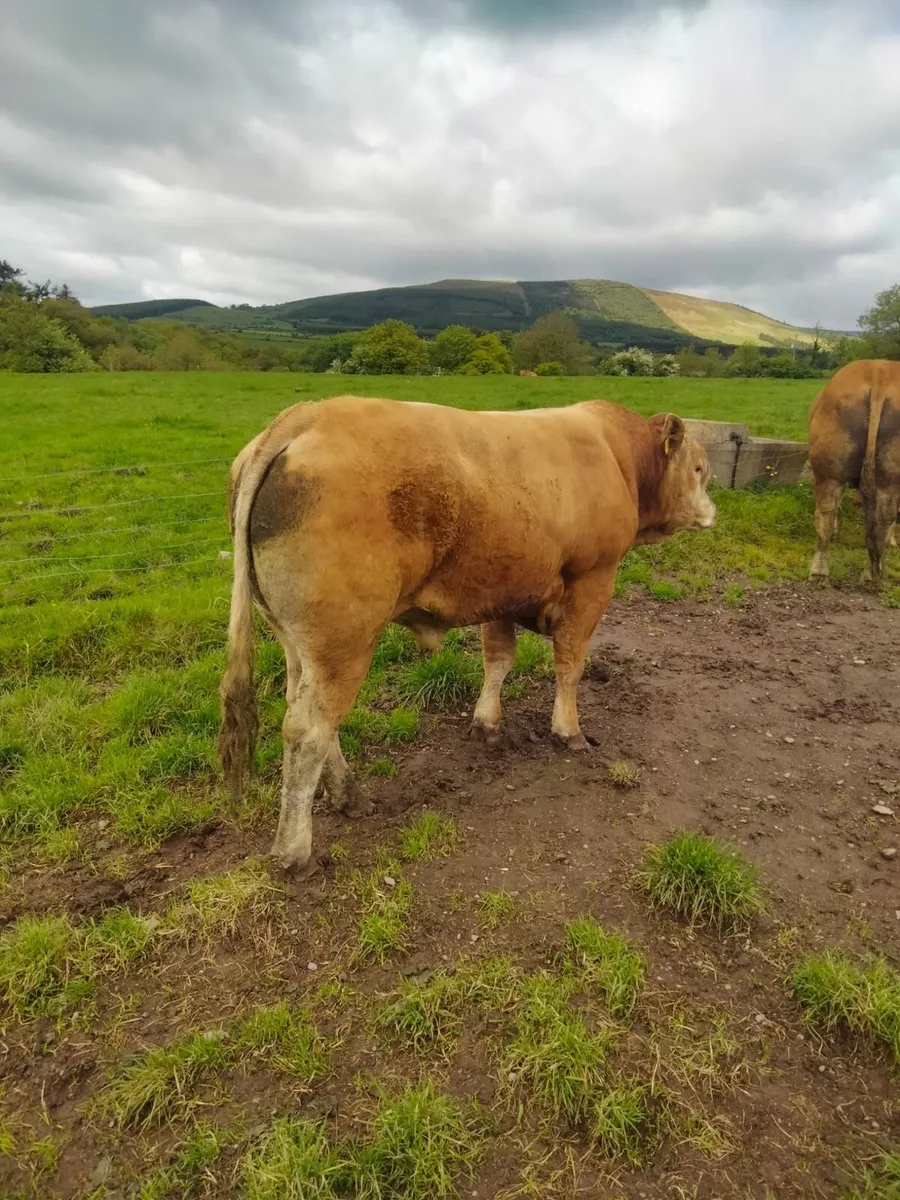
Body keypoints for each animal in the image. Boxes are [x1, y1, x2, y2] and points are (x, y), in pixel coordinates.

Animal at [218, 395, 716, 872]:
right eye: (699, 469)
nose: (712, 511)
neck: (618, 455)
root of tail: (307, 415)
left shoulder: (501, 588)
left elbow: (498, 658)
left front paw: (487, 724)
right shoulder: (592, 581)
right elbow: (570, 662)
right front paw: (568, 731)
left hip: (298, 643)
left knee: (308, 715)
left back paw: (349, 797)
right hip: (344, 644)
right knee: (308, 731)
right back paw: (295, 853)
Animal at [808, 360, 900, 585]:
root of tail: (880, 369)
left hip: (830, 472)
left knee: (827, 510)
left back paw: (819, 571)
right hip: (886, 477)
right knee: (883, 518)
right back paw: (871, 574)